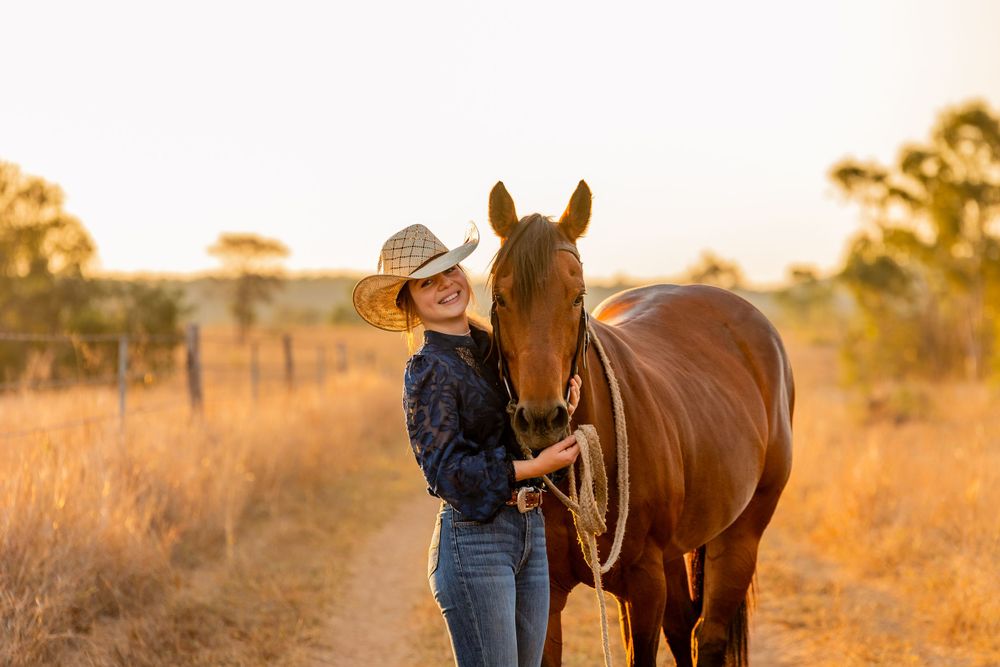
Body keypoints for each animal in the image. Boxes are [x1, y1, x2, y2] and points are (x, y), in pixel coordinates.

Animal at [486, 180, 794, 667]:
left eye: (577, 296)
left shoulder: (644, 585)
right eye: (500, 297)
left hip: (741, 535)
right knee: (684, 627)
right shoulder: (546, 591)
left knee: (708, 635)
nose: (541, 419)